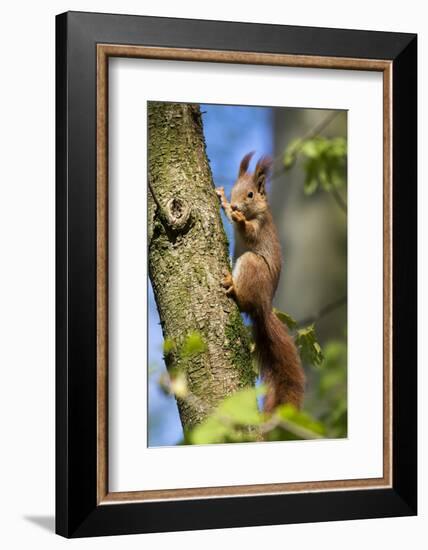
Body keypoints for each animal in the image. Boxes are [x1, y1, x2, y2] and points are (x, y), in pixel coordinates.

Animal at [216, 153, 306, 412]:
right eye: (235, 190)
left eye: (250, 195)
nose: (236, 206)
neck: (254, 213)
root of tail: (264, 306)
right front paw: (223, 200)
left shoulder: (260, 226)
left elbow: (248, 230)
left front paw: (238, 218)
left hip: (251, 264)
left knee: (243, 300)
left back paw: (233, 285)